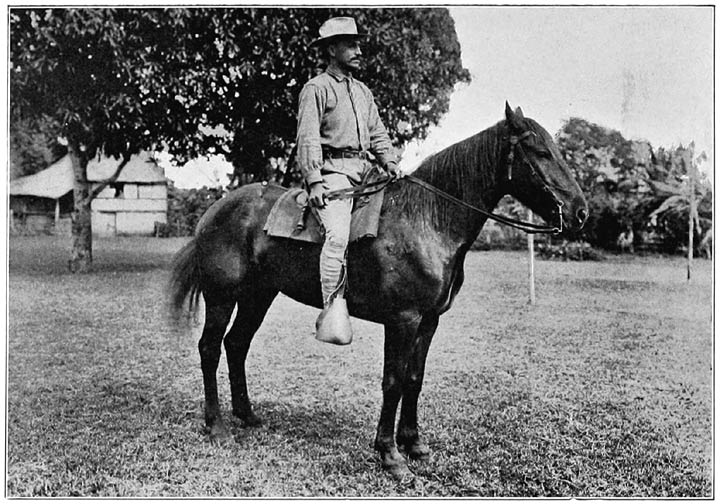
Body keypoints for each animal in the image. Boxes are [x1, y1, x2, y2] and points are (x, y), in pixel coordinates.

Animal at [170, 104, 592, 478]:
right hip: (222, 296)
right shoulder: (402, 320)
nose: (581, 212)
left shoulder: (428, 322)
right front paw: (390, 455)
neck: (428, 219)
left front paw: (414, 443)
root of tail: (215, 210)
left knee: (236, 344)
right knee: (210, 348)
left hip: (258, 296)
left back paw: (247, 415)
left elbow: (414, 379)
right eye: (540, 152)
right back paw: (217, 425)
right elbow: (393, 382)